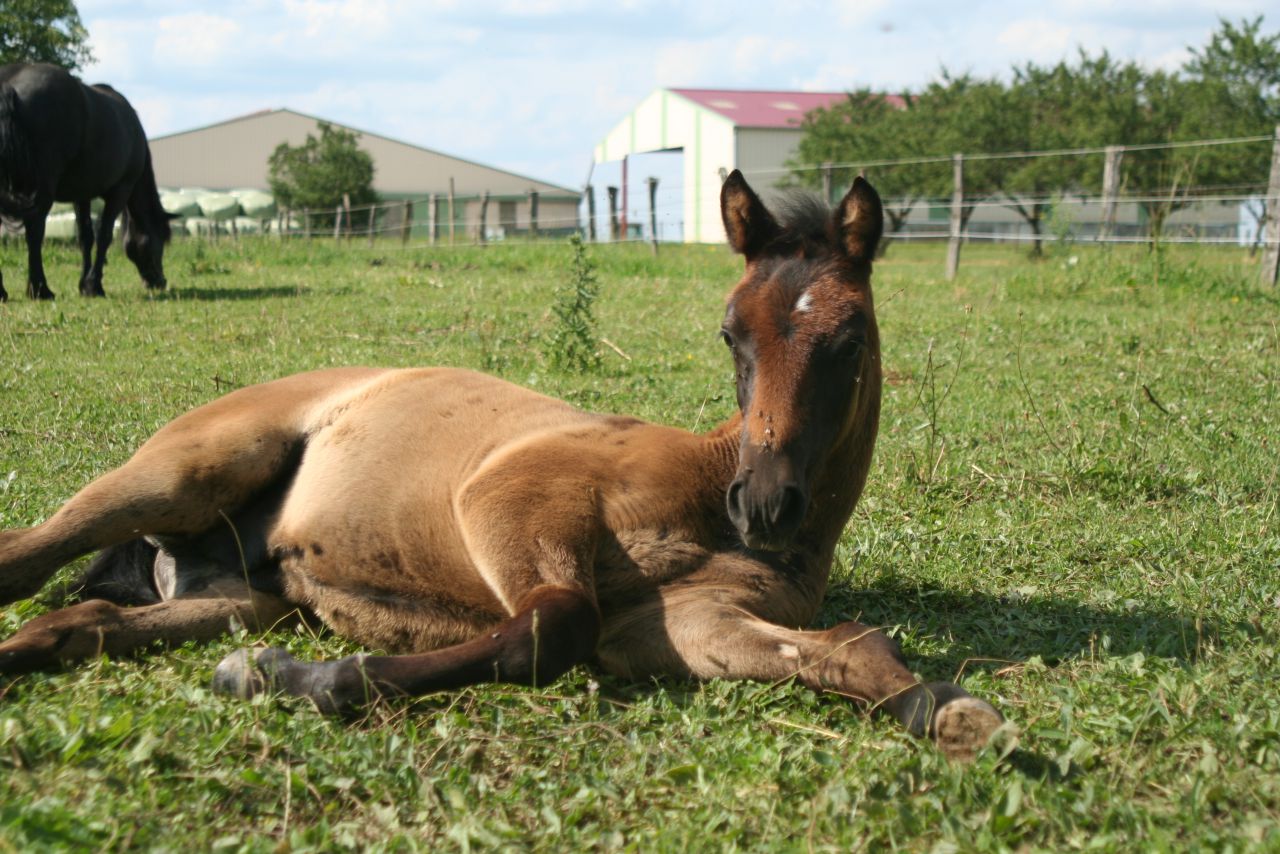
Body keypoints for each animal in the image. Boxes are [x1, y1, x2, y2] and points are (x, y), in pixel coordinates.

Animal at [0, 63, 171, 301]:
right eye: (161, 238)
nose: (160, 282)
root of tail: (10, 84)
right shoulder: (120, 191)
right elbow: (104, 235)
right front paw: (94, 285)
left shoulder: (82, 195)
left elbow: (85, 237)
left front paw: (83, 284)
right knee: (35, 232)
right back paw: (40, 289)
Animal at [0, 172, 1004, 760]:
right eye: (730, 334)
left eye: (849, 340)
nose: (764, 503)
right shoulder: (515, 496)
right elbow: (549, 628)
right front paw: (295, 679)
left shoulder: (681, 628)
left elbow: (849, 650)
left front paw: (950, 713)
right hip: (182, 473)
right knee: (27, 553)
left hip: (232, 596)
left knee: (82, 621)